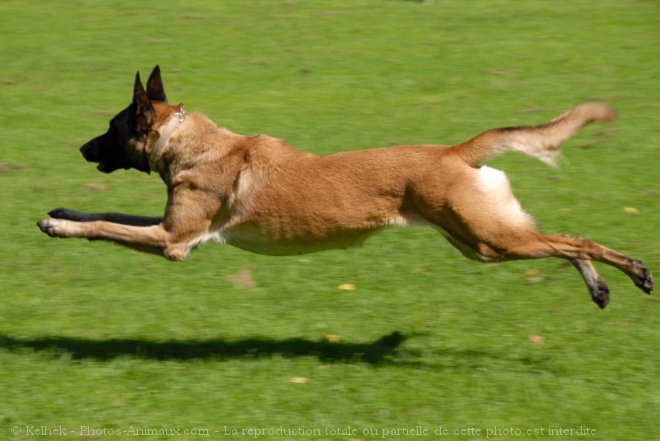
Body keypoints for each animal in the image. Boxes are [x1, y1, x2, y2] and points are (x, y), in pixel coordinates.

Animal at [38, 65, 652, 308]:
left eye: (112, 127)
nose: (83, 149)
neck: (190, 141)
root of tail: (454, 151)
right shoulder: (171, 227)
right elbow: (112, 216)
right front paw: (64, 209)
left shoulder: (173, 242)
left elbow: (105, 225)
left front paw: (58, 225)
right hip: (481, 241)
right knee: (564, 241)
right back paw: (600, 287)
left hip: (488, 239)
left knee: (576, 241)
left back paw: (634, 272)